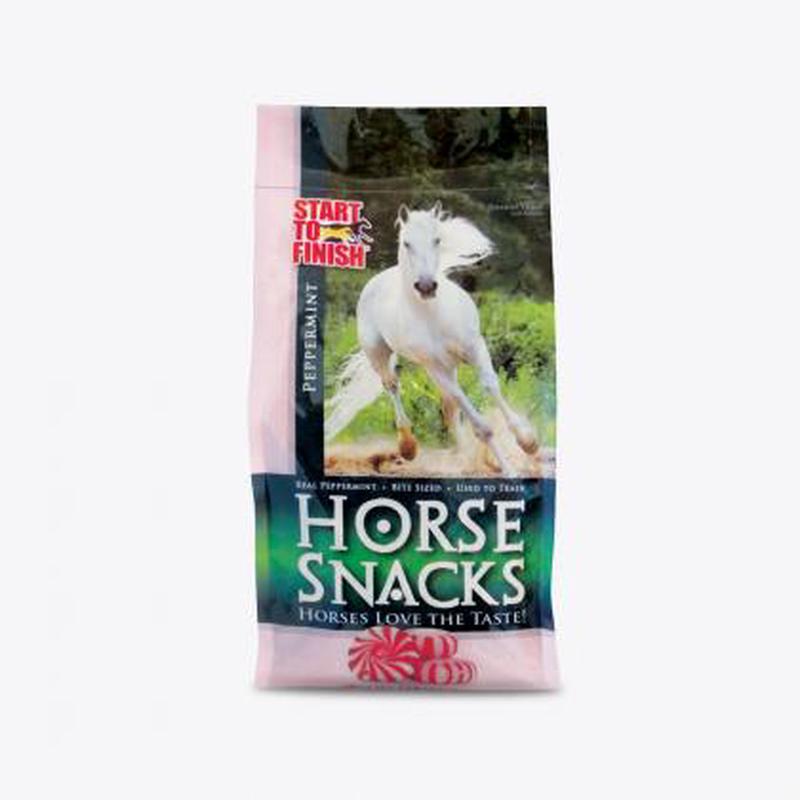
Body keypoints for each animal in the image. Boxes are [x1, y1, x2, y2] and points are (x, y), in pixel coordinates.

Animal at [325, 202, 537, 475]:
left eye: (437, 240)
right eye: (406, 243)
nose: (426, 286)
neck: (433, 317)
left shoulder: (475, 348)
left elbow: (490, 384)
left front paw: (528, 441)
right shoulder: (435, 368)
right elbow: (478, 422)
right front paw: (509, 470)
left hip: (450, 365)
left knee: (448, 407)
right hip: (380, 355)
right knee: (393, 386)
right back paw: (407, 446)